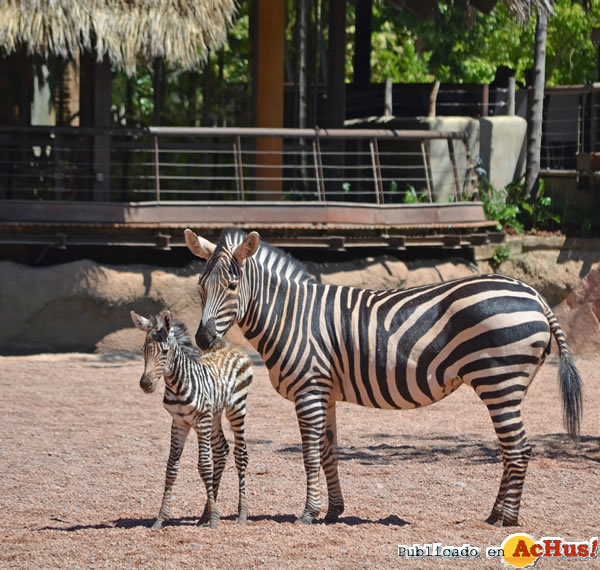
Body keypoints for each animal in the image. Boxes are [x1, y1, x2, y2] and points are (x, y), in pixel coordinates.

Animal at [131, 308, 253, 524]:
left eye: (165, 352)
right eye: (144, 349)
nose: (145, 384)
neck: (178, 384)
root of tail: (233, 348)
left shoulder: (201, 420)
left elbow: (204, 466)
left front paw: (214, 519)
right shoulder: (179, 422)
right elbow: (171, 467)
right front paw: (160, 519)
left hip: (236, 408)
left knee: (241, 454)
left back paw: (242, 514)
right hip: (215, 414)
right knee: (221, 451)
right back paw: (205, 514)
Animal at [183, 225, 580, 524]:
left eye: (232, 286)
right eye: (200, 287)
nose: (202, 338)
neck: (291, 316)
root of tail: (533, 294)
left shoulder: (309, 389)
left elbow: (309, 453)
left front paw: (309, 512)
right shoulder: (325, 392)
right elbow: (328, 451)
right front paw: (334, 511)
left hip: (500, 381)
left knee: (518, 448)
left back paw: (506, 519)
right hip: (507, 386)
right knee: (511, 448)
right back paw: (495, 514)